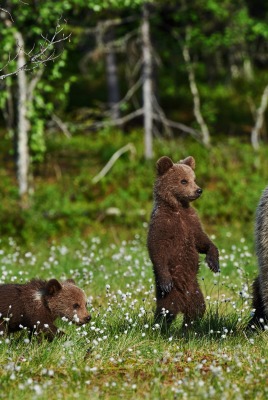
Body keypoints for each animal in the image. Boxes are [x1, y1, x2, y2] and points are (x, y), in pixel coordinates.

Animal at [147, 156, 220, 328]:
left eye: (194, 179)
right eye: (183, 181)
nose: (198, 190)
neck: (178, 207)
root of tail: (183, 303)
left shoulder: (191, 222)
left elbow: (201, 240)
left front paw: (213, 262)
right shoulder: (162, 224)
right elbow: (157, 248)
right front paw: (166, 280)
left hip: (195, 290)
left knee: (197, 309)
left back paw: (187, 328)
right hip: (170, 294)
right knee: (166, 311)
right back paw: (160, 328)